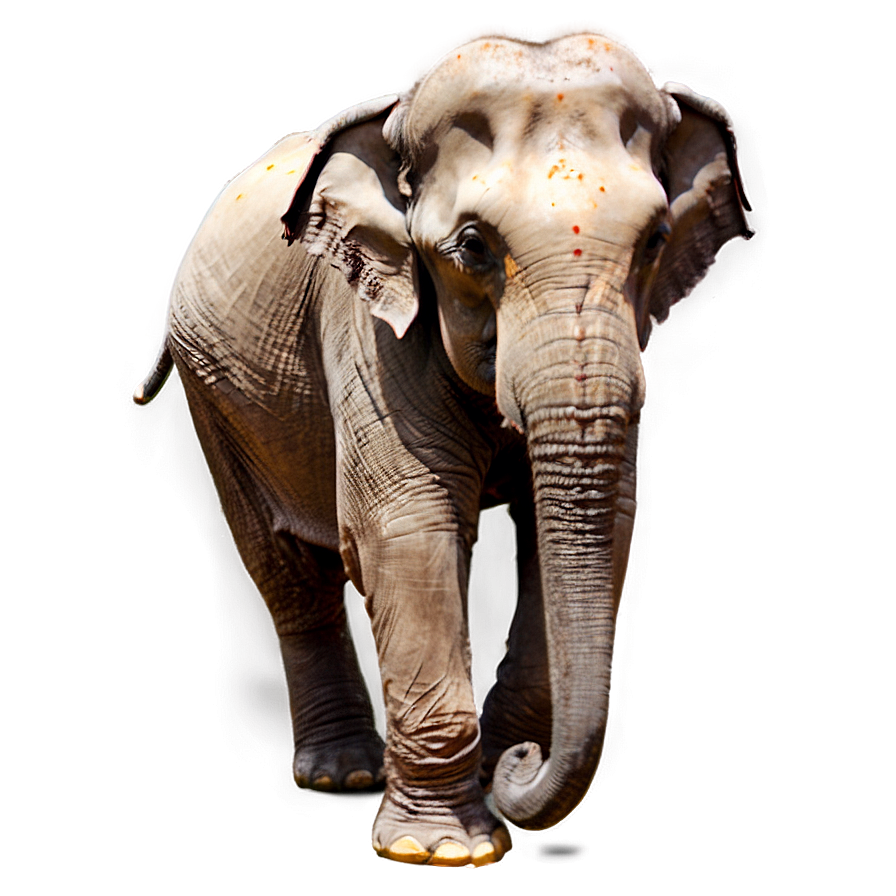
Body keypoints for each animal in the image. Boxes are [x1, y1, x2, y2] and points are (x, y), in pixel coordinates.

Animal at [135, 32, 752, 867]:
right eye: (471, 245)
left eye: (656, 241)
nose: (523, 764)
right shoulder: (367, 324)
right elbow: (405, 530)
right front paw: (438, 851)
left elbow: (604, 521)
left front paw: (496, 772)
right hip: (211, 390)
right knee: (284, 564)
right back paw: (339, 777)